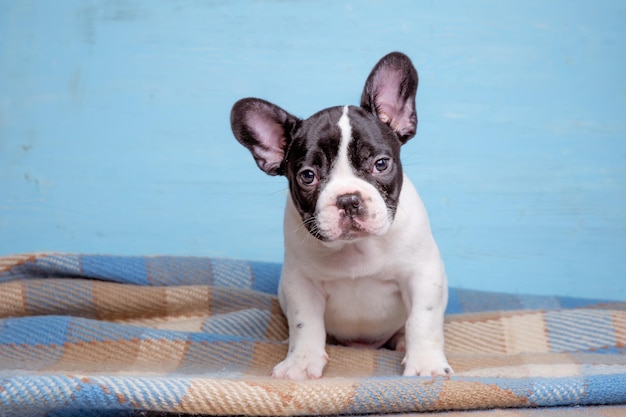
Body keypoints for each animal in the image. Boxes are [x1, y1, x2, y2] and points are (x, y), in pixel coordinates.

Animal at [229, 52, 448, 380]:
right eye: (308, 176)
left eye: (380, 164)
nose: (347, 200)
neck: (355, 248)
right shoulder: (301, 283)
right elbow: (305, 323)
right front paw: (301, 362)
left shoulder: (422, 274)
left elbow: (423, 319)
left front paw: (426, 364)